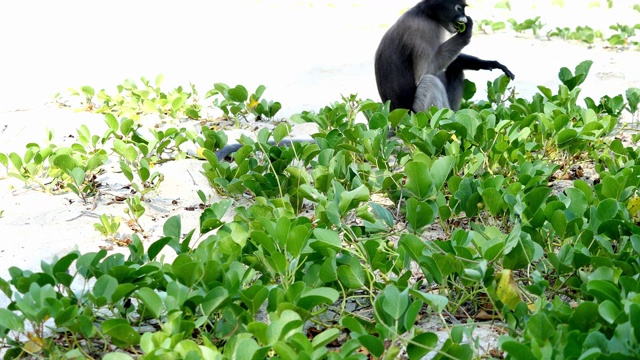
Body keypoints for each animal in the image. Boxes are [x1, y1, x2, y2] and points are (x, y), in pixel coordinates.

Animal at [376, 0, 516, 112]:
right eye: (459, 8)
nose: (464, 17)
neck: (425, 13)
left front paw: (487, 63)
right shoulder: (423, 28)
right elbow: (427, 70)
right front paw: (465, 33)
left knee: (455, 69)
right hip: (417, 115)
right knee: (430, 82)